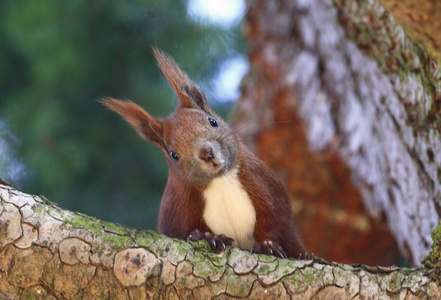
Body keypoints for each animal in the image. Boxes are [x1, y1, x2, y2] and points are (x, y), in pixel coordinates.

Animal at [99, 48, 306, 258]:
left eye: (212, 121)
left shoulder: (265, 185)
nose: (207, 153)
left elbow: (276, 219)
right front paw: (209, 237)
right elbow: (183, 231)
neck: (220, 181)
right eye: (173, 154)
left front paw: (267, 245)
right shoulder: (179, 206)